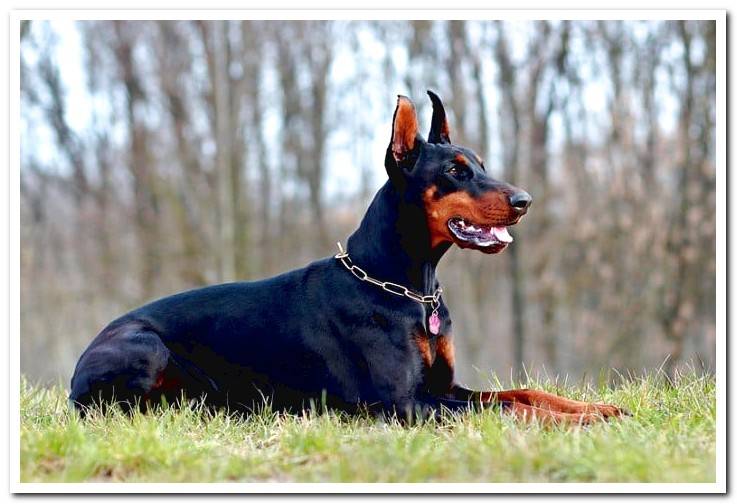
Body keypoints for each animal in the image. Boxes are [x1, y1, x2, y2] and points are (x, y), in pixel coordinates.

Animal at [69, 92, 624, 424]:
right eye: (455, 171)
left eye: (482, 165)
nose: (525, 200)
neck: (406, 288)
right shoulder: (405, 403)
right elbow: (508, 412)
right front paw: (577, 422)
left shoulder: (445, 386)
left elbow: (524, 395)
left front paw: (597, 408)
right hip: (145, 346)